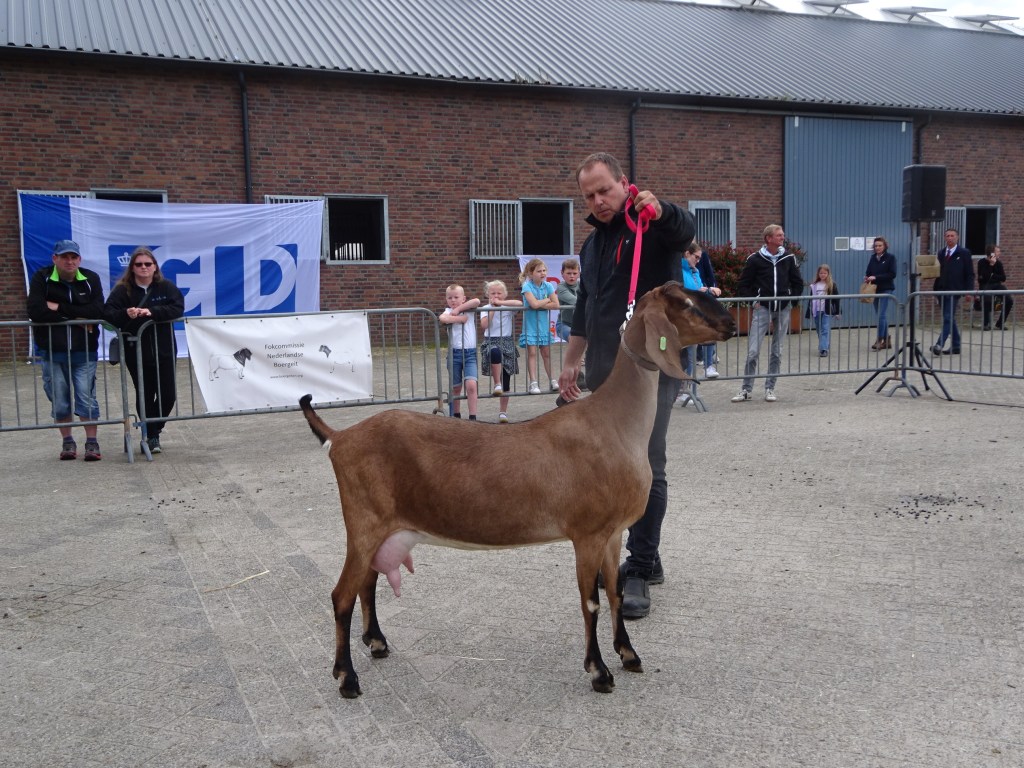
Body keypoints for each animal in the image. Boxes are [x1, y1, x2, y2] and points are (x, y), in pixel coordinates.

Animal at [299, 281, 736, 698]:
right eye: (684, 302)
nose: (731, 324)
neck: (613, 423)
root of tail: (339, 438)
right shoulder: (588, 534)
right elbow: (590, 602)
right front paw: (599, 672)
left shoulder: (613, 534)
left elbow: (613, 594)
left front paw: (628, 654)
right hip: (364, 522)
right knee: (342, 595)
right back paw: (347, 678)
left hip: (384, 529)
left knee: (367, 584)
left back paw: (376, 643)